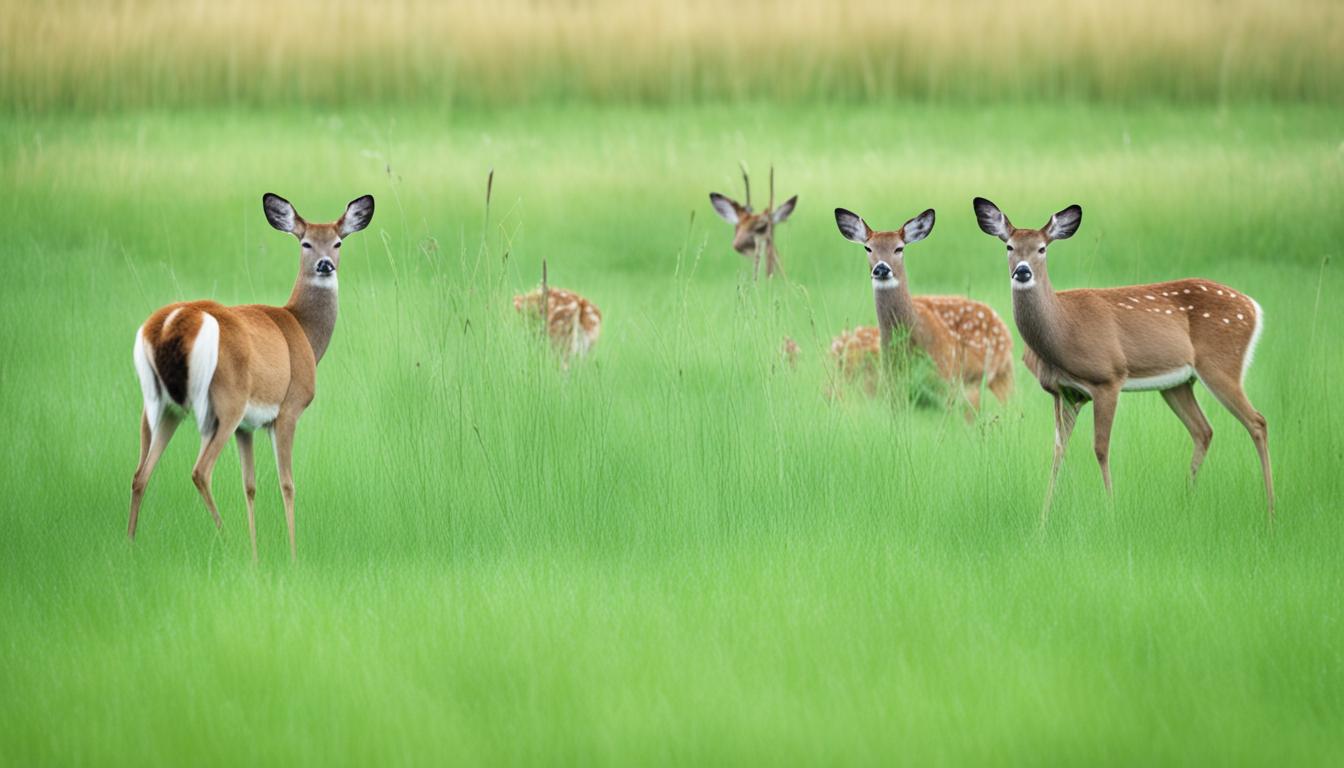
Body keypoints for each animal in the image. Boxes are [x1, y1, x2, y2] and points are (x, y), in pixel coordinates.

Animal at [129, 195, 376, 562]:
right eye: (305, 242)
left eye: (337, 242)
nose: (325, 265)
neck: (303, 329)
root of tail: (173, 322)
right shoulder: (288, 408)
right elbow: (286, 483)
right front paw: (292, 554)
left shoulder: (247, 427)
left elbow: (250, 485)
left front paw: (257, 554)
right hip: (222, 402)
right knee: (200, 471)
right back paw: (228, 541)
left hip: (158, 404)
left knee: (140, 474)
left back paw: (129, 544)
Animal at [833, 203, 1010, 408]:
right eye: (868, 248)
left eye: (899, 248)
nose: (882, 269)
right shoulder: (891, 386)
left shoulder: (946, 379)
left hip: (996, 376)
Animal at [978, 197, 1268, 521]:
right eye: (1009, 246)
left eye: (1042, 248)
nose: (1023, 272)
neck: (1062, 331)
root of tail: (1254, 307)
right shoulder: (1063, 392)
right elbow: (1058, 451)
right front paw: (1044, 517)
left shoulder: (1108, 378)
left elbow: (1101, 447)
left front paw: (1111, 510)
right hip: (1177, 384)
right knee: (1203, 430)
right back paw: (1187, 502)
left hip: (1220, 364)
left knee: (1257, 422)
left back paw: (1270, 510)